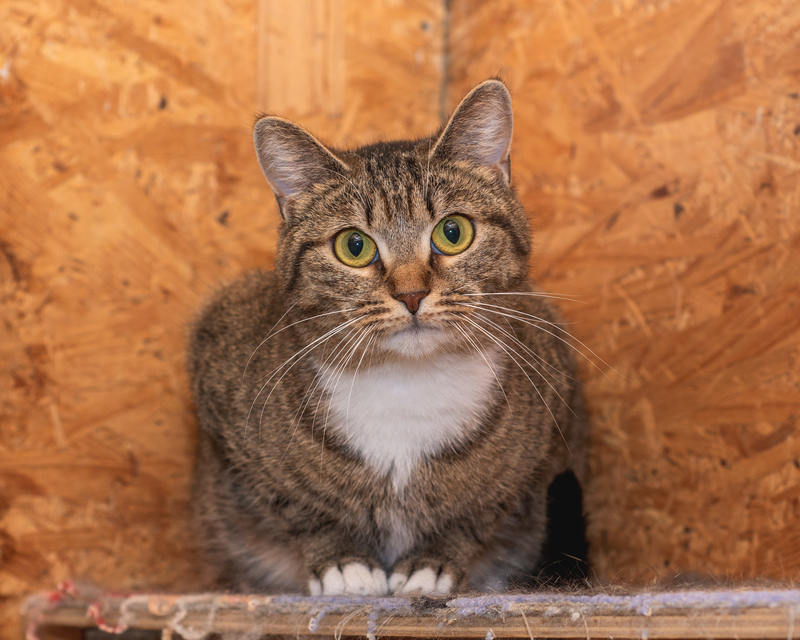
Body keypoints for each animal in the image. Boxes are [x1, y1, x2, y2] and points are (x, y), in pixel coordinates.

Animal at [188, 79, 588, 596]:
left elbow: (480, 512)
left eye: (453, 232)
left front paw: (432, 563)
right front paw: (341, 562)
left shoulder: (543, 434)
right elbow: (293, 505)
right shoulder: (219, 379)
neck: (406, 387)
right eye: (353, 246)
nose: (411, 293)